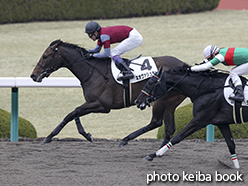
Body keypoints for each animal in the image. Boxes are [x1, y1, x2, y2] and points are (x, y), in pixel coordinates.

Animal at [30, 39, 185, 147]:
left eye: (45, 56)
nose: (33, 76)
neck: (92, 71)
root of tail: (185, 65)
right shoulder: (91, 102)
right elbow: (75, 113)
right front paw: (87, 135)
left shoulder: (103, 105)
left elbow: (71, 113)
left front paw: (50, 136)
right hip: (171, 102)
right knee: (169, 128)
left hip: (161, 99)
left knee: (156, 122)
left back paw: (125, 140)